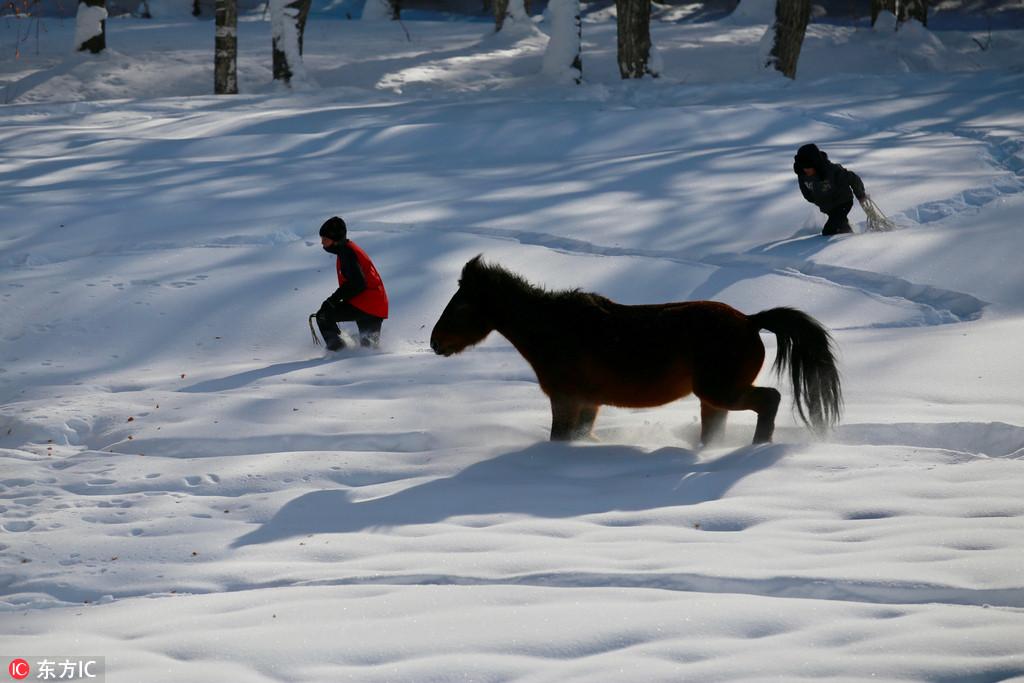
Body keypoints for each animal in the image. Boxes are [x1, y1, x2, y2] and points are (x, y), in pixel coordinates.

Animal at [430, 254, 839, 444]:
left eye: (462, 306)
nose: (436, 342)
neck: (555, 328)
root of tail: (751, 321)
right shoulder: (588, 404)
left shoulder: (566, 399)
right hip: (713, 399)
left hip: (720, 391)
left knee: (769, 400)